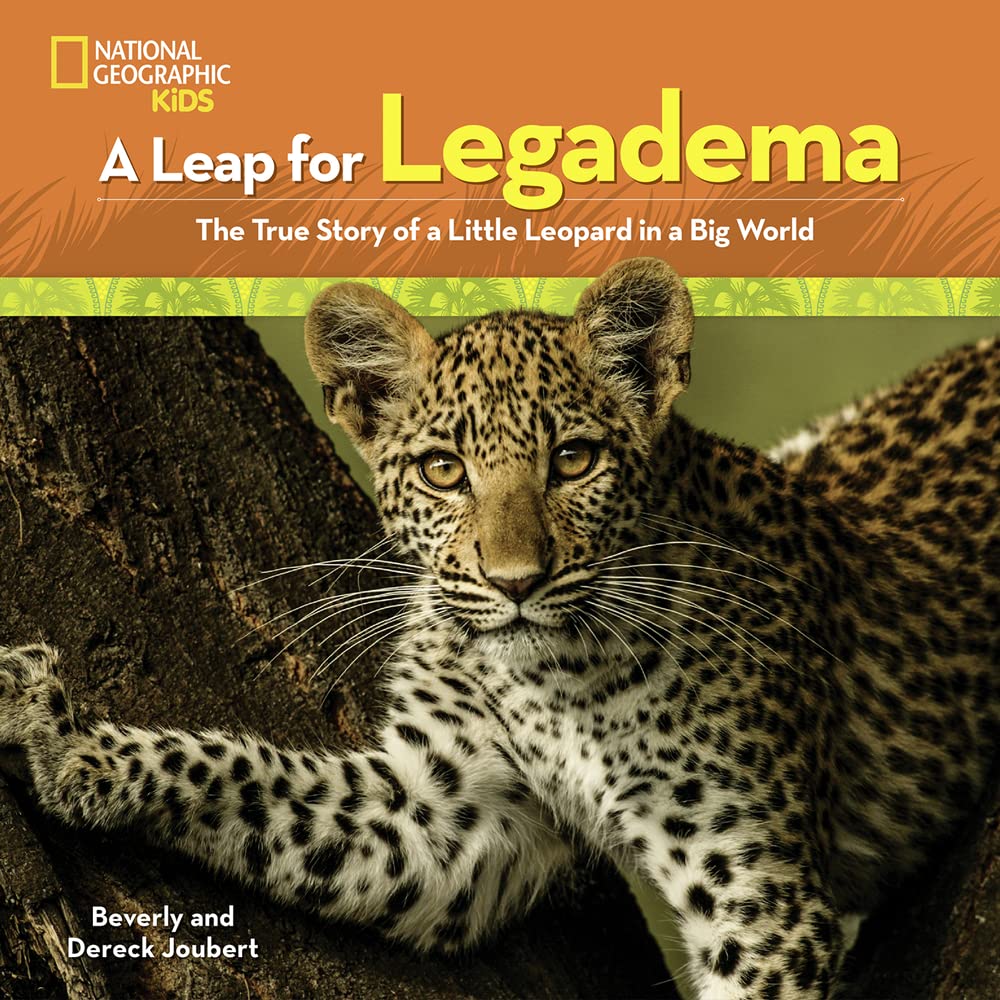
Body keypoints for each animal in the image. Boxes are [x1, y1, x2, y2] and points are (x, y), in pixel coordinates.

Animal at [1, 258, 997, 1000]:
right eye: (444, 471)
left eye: (576, 461)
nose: (515, 583)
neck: (559, 680)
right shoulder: (443, 813)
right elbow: (241, 778)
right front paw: (60, 737)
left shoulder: (758, 895)